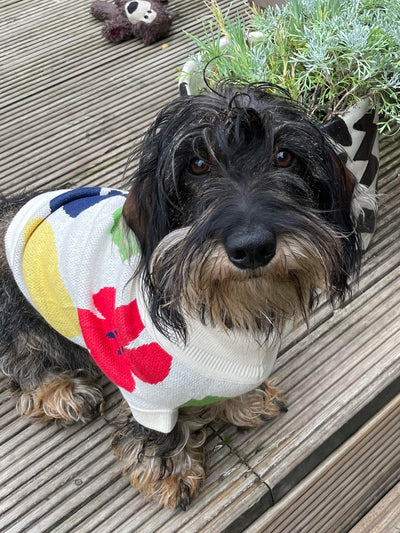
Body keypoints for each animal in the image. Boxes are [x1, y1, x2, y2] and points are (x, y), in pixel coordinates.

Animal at [0, 83, 376, 508]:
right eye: (196, 165)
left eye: (284, 156)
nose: (252, 248)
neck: (220, 316)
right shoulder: (149, 396)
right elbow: (160, 436)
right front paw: (171, 474)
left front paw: (245, 401)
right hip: (25, 317)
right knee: (24, 359)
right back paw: (60, 392)